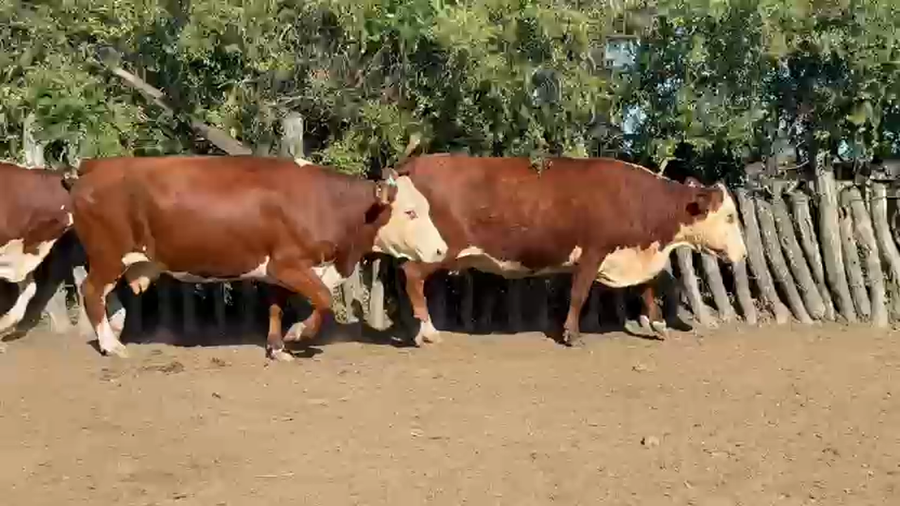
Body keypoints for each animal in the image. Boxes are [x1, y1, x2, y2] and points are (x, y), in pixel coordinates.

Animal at [69, 155, 448, 361]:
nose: (441, 249)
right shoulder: (289, 264)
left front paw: (278, 347)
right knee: (91, 292)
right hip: (107, 255)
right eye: (411, 212)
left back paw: (115, 332)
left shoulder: (277, 270)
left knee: (105, 297)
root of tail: (96, 166)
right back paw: (111, 345)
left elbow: (276, 307)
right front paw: (298, 334)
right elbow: (323, 299)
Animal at [390, 154, 747, 348]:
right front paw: (571, 333)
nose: (743, 254)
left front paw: (659, 327)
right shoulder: (592, 252)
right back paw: (428, 331)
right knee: (410, 275)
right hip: (439, 249)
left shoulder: (634, 252)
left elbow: (647, 289)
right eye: (730, 216)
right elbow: (579, 293)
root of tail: (416, 163)